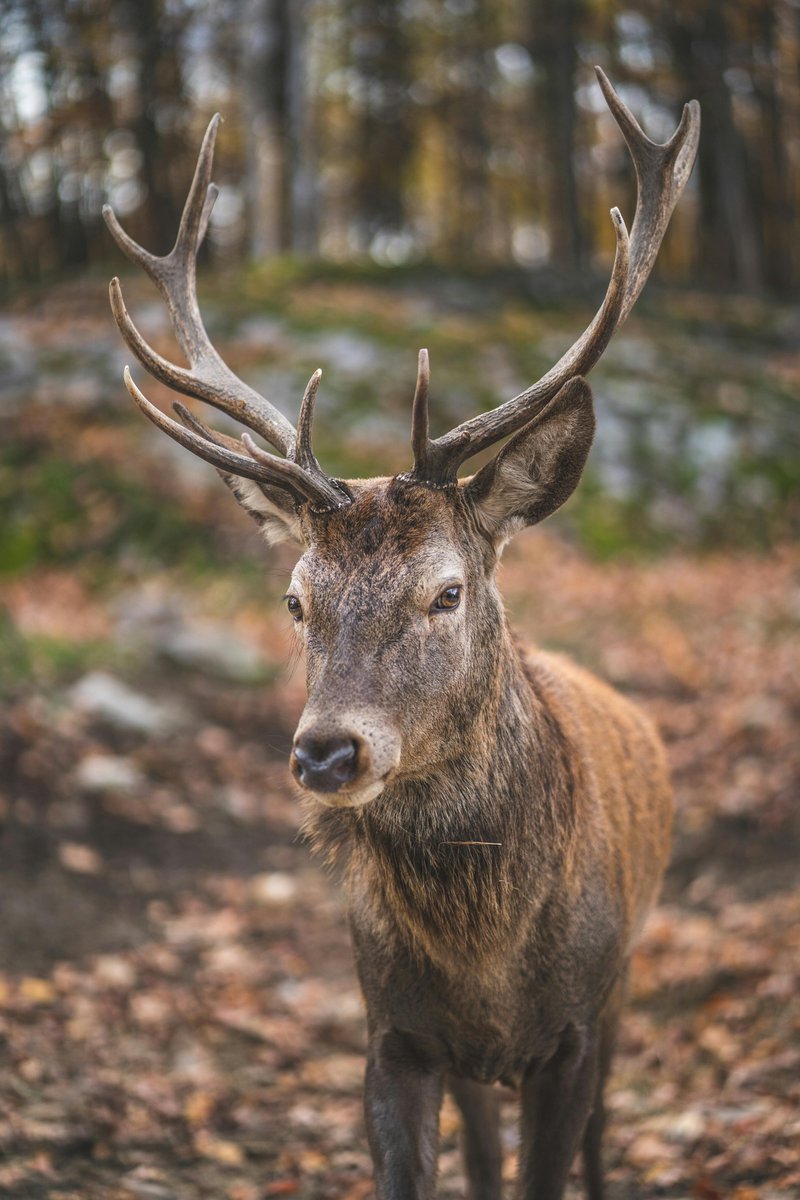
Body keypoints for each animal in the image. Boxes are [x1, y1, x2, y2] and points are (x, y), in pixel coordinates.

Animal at [104, 68, 699, 1200]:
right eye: (296, 598)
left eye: (446, 592)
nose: (326, 752)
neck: (489, 966)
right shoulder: (394, 1033)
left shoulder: (573, 1031)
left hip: (626, 982)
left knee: (604, 1132)